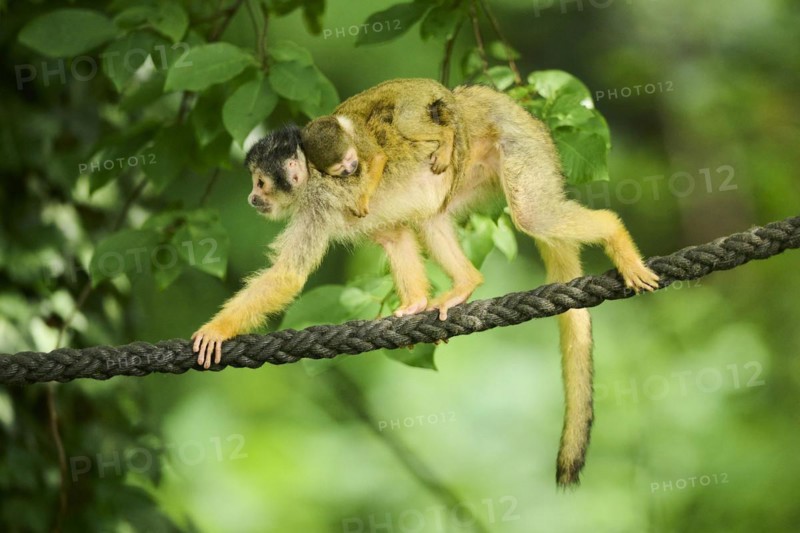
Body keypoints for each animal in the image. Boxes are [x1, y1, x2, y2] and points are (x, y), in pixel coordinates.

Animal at [300, 79, 459, 217]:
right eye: (340, 169)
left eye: (349, 158)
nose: (350, 168)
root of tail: (424, 82)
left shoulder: (357, 132)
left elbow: (377, 157)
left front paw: (363, 198)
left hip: (413, 100)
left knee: (405, 124)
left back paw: (446, 136)